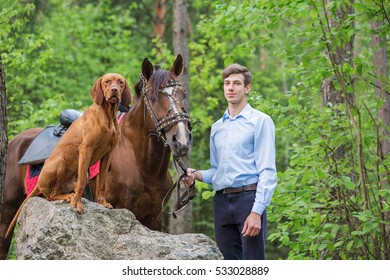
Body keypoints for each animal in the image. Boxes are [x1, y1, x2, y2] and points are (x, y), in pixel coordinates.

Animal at [0, 54, 192, 258]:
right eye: (154, 97)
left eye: (183, 94)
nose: (181, 139)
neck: (143, 167)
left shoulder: (154, 219)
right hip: (7, 212)